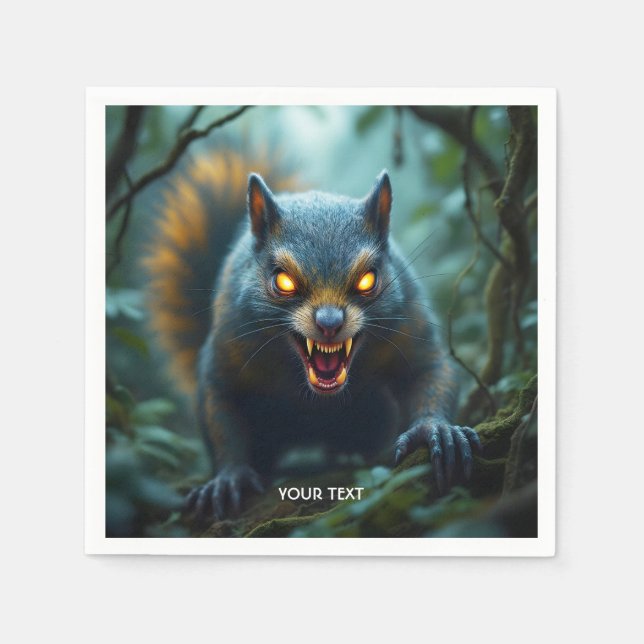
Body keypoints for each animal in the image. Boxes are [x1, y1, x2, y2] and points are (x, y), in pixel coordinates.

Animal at [143, 150, 481, 520]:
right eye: (282, 280)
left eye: (369, 278)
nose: (329, 322)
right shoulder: (229, 345)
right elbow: (220, 405)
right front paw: (228, 477)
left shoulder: (409, 326)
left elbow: (430, 371)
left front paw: (435, 430)